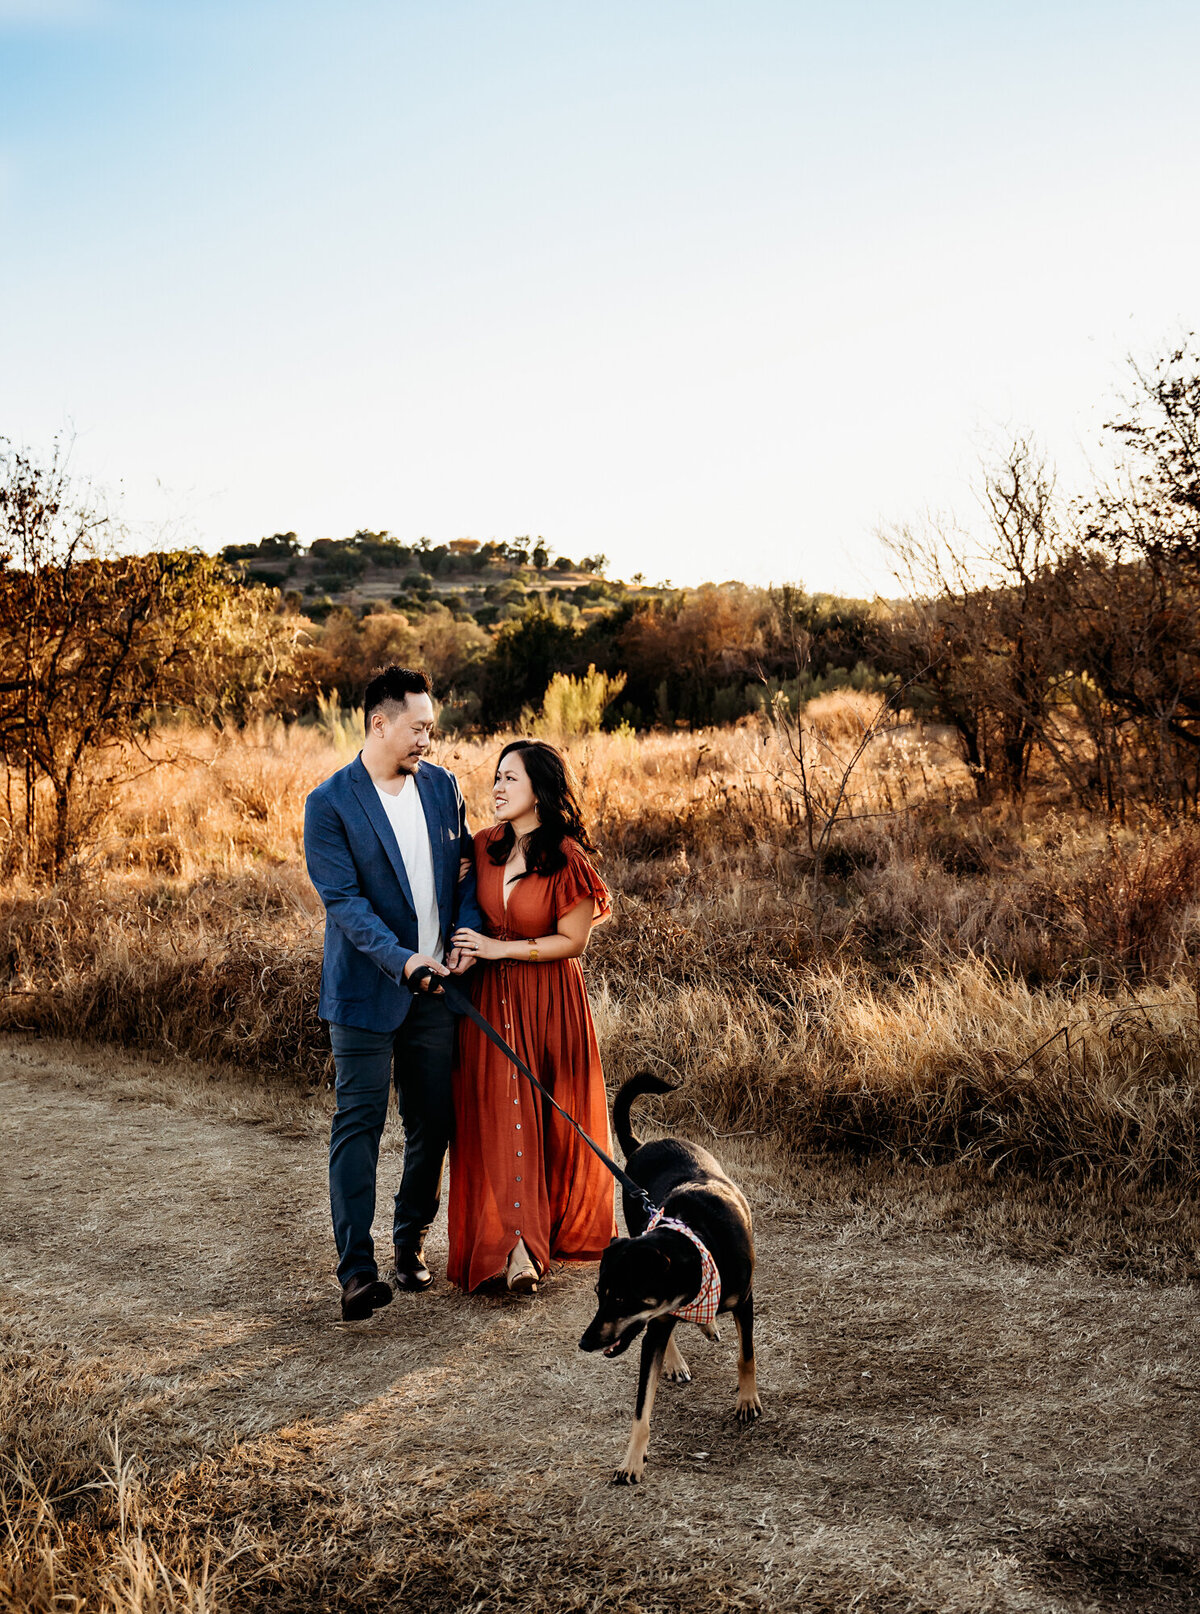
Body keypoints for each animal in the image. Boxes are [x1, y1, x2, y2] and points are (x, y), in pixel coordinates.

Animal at [578, 1071, 765, 1484]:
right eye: (599, 1294)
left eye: (621, 1298)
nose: (584, 1343)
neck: (699, 1243)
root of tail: (641, 1145)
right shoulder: (655, 1324)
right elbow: (641, 1407)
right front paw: (632, 1460)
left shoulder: (745, 1300)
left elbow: (746, 1355)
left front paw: (747, 1400)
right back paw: (677, 1360)